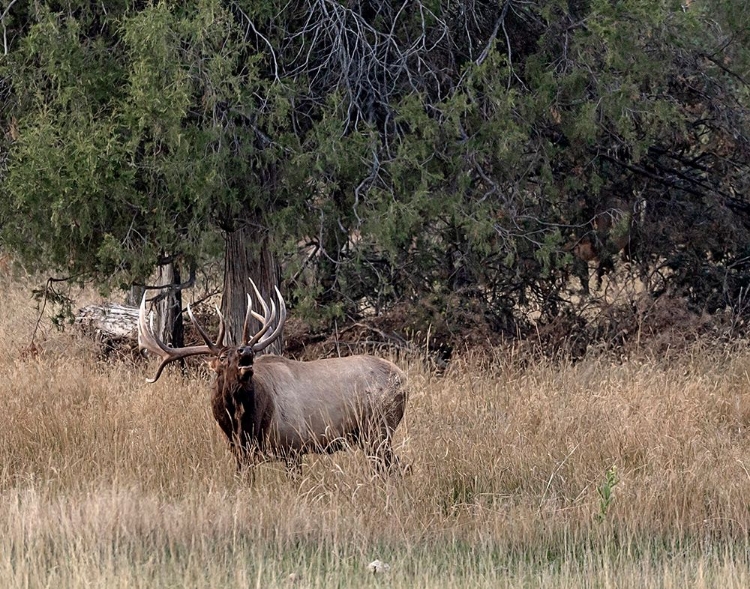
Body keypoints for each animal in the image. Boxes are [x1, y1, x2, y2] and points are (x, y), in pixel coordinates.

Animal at [135, 278, 406, 476]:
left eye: (249, 351)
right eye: (222, 357)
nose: (245, 351)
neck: (246, 426)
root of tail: (404, 380)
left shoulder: (294, 446)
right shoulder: (242, 455)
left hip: (379, 429)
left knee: (395, 468)